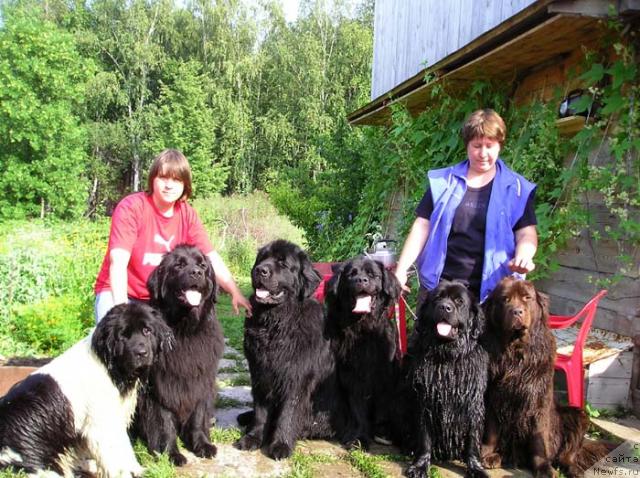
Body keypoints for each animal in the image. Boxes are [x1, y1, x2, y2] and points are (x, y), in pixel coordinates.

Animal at [0, 304, 172, 476]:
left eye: (147, 330)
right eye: (123, 336)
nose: (141, 353)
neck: (109, 364)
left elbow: (123, 447)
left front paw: (135, 469)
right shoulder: (100, 422)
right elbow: (114, 451)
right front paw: (123, 473)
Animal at [235, 241, 344, 462]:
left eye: (283, 263)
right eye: (262, 259)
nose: (260, 270)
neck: (276, 323)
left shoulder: (296, 377)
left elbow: (288, 413)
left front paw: (280, 445)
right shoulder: (260, 373)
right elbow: (260, 411)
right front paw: (252, 438)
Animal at [324, 256, 400, 450]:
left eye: (373, 275)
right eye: (351, 274)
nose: (361, 280)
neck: (362, 327)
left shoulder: (384, 375)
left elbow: (383, 405)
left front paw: (382, 431)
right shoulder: (351, 376)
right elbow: (358, 409)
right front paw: (358, 438)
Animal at [402, 280, 488, 478]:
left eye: (459, 301)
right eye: (438, 298)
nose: (445, 307)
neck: (448, 357)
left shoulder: (473, 404)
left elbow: (473, 439)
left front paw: (476, 467)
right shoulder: (425, 400)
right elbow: (424, 437)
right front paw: (420, 465)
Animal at [482, 276, 608, 478]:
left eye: (527, 298)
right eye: (505, 299)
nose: (517, 311)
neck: (515, 352)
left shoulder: (538, 399)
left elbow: (538, 439)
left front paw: (543, 468)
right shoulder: (493, 394)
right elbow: (491, 430)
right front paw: (485, 454)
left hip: (576, 415)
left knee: (568, 454)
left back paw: (573, 469)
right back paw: (498, 456)